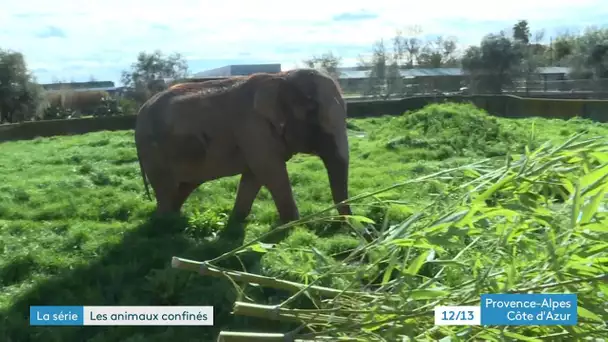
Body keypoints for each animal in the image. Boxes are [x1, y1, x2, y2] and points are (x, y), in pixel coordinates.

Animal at [133, 68, 352, 236]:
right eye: (313, 114)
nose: (335, 227)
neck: (282, 77)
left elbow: (254, 176)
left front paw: (235, 224)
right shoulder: (252, 128)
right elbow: (271, 171)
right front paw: (295, 228)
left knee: (183, 187)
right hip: (153, 151)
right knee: (166, 188)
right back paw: (166, 226)